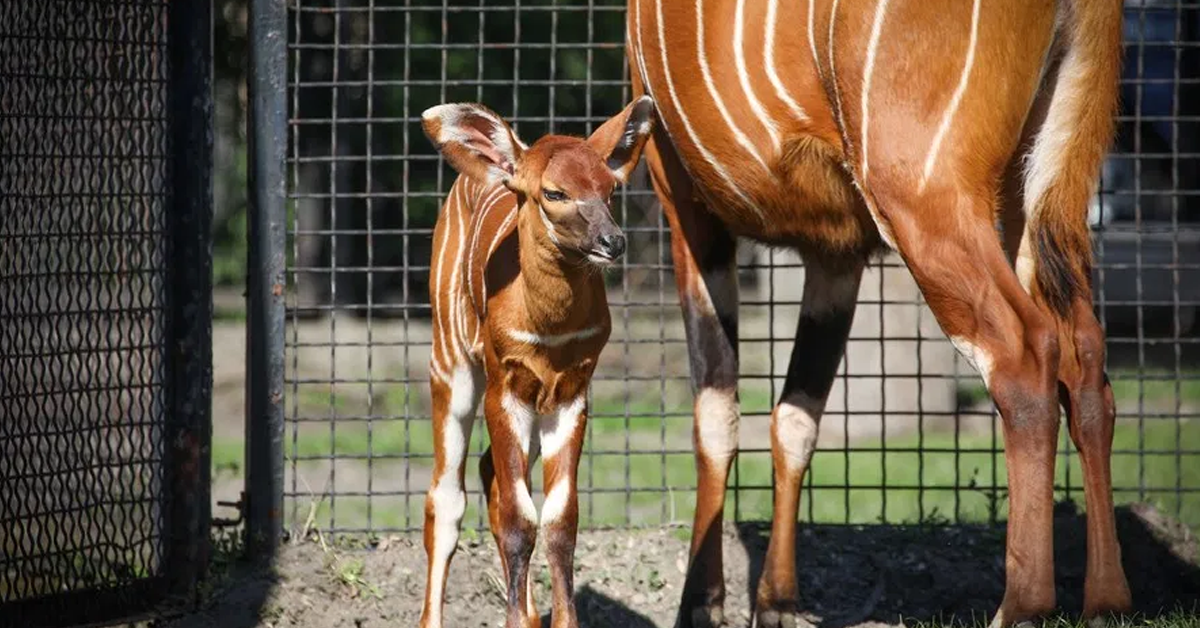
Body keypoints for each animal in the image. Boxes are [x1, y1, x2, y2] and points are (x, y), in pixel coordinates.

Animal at [415, 98, 657, 628]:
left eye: (611, 189)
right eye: (554, 192)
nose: (613, 242)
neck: (548, 327)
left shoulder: (570, 395)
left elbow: (560, 519)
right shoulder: (504, 389)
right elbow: (519, 519)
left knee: (493, 474)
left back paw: (528, 614)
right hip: (452, 365)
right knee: (446, 496)